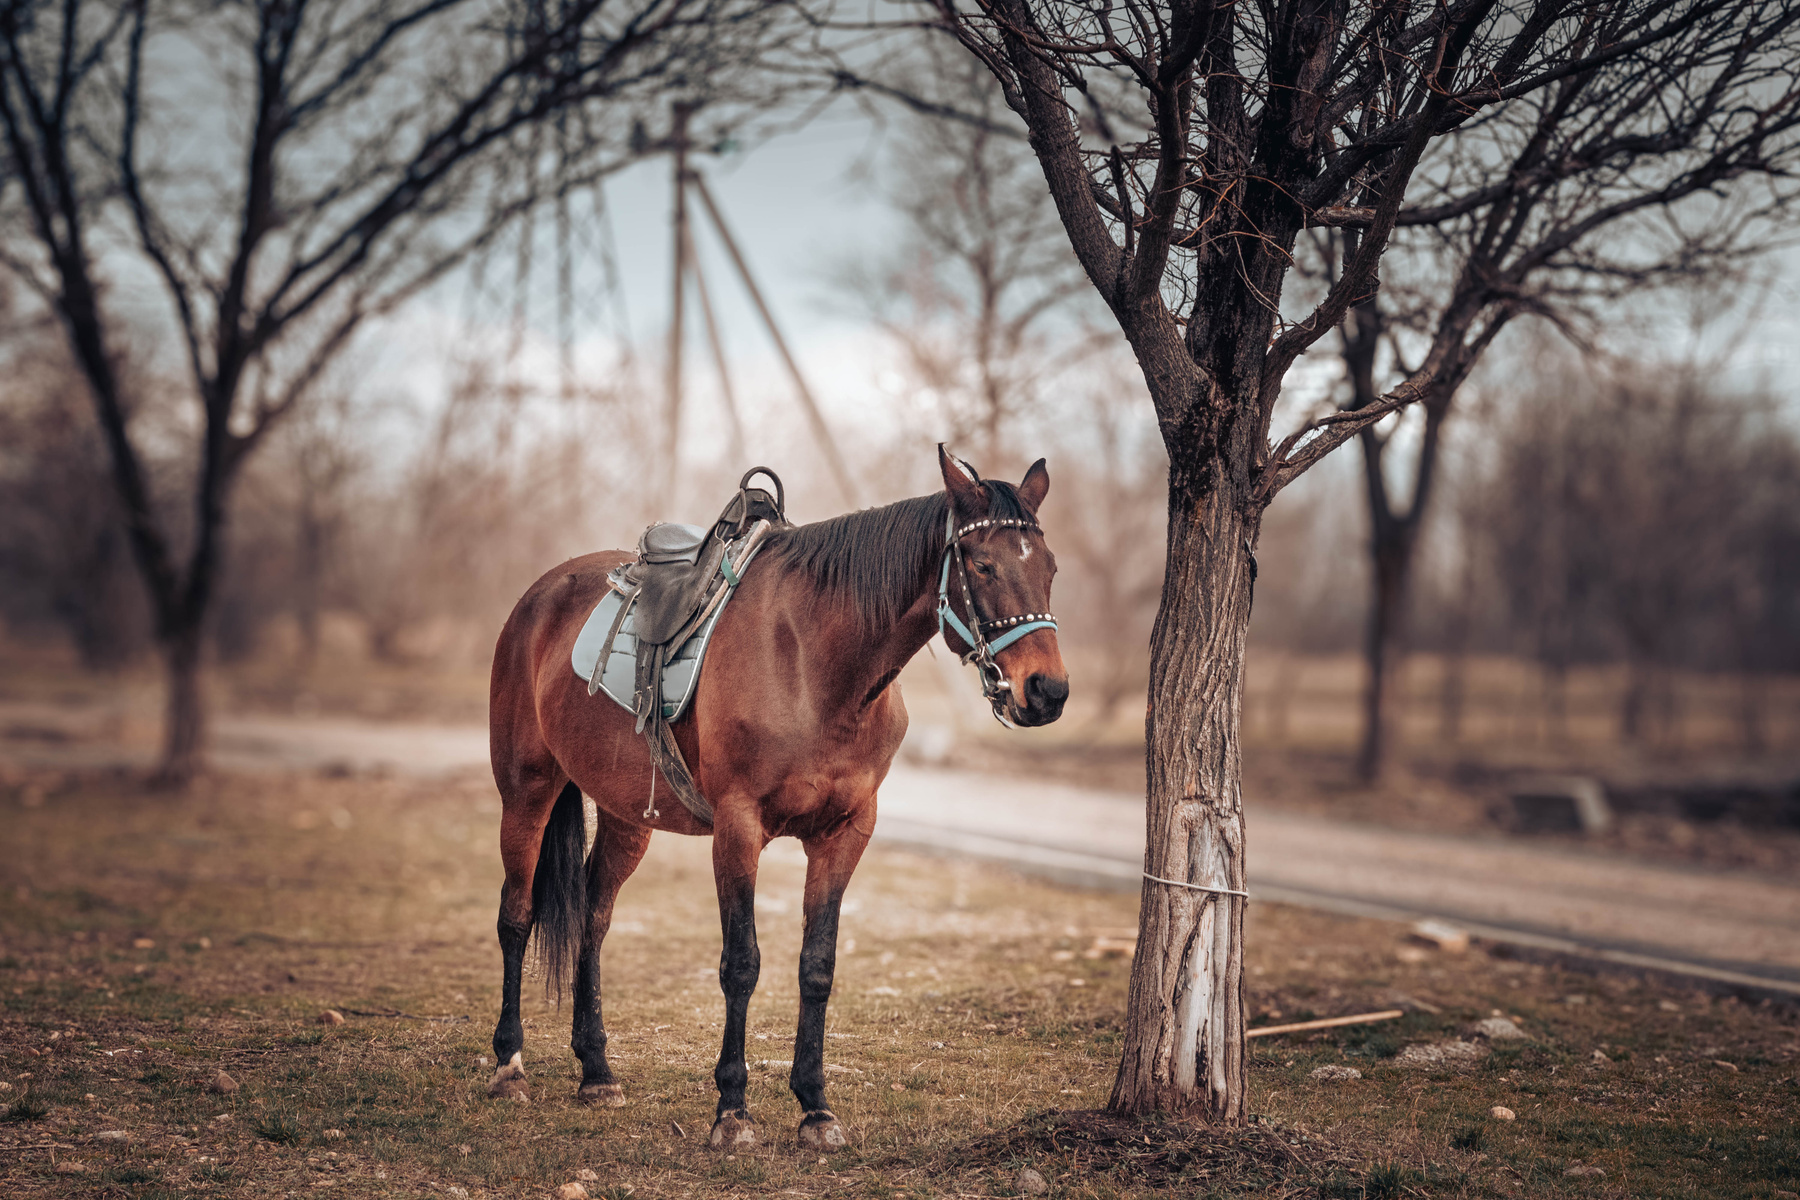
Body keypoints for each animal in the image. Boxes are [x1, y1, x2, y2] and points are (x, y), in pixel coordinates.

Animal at [483, 446, 1068, 1151]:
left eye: (1050, 568)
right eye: (982, 565)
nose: (1047, 691)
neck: (814, 663)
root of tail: (539, 596)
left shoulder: (846, 833)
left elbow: (817, 966)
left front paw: (815, 1106)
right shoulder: (739, 827)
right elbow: (742, 963)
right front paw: (732, 1110)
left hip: (628, 816)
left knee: (593, 920)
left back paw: (596, 1071)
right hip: (527, 790)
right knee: (516, 916)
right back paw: (509, 1064)